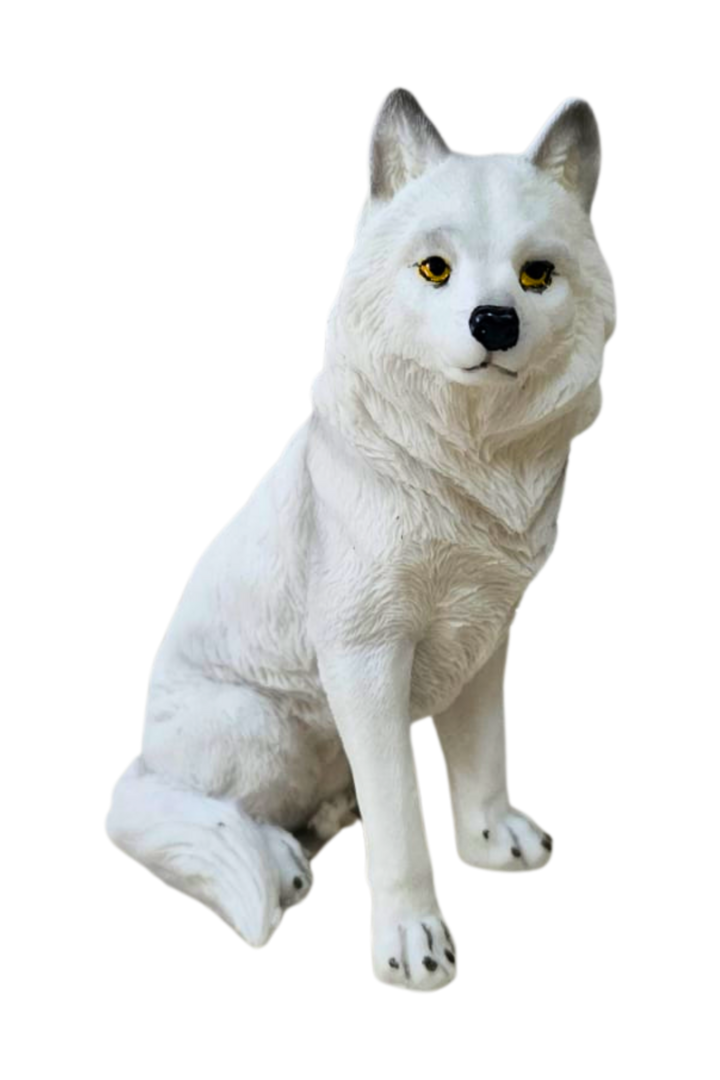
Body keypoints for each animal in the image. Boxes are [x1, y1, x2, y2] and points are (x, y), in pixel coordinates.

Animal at [103, 86, 618, 995]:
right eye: (435, 269)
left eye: (536, 275)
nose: (495, 322)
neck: (464, 473)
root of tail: (139, 764)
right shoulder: (364, 656)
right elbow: (402, 823)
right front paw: (414, 946)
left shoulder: (487, 635)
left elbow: (483, 759)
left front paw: (494, 841)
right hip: (261, 730)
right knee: (195, 821)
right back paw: (279, 855)